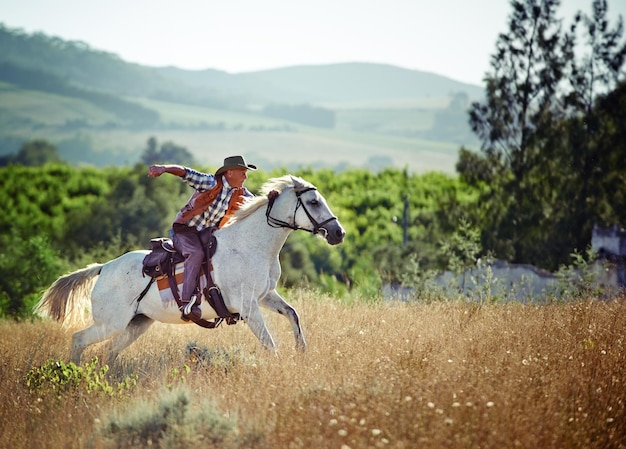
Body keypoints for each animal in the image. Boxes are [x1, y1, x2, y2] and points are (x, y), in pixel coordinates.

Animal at [34, 175, 346, 364]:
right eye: (314, 201)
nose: (338, 233)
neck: (251, 244)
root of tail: (104, 268)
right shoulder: (248, 307)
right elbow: (269, 343)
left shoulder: (266, 296)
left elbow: (293, 314)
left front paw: (301, 350)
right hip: (111, 323)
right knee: (79, 339)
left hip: (137, 323)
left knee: (110, 352)